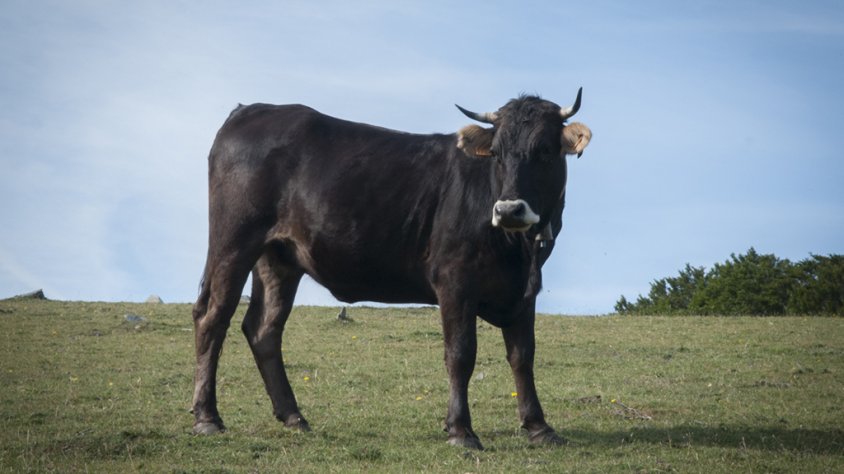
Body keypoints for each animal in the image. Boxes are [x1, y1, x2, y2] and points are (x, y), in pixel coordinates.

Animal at [191, 89, 592, 450]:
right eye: (496, 153)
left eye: (545, 150)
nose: (509, 209)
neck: (519, 251)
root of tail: (252, 109)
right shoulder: (455, 282)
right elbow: (461, 354)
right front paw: (461, 430)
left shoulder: (524, 292)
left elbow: (523, 356)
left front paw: (539, 427)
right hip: (234, 241)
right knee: (213, 318)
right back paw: (207, 417)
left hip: (278, 259)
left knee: (264, 329)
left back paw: (293, 416)